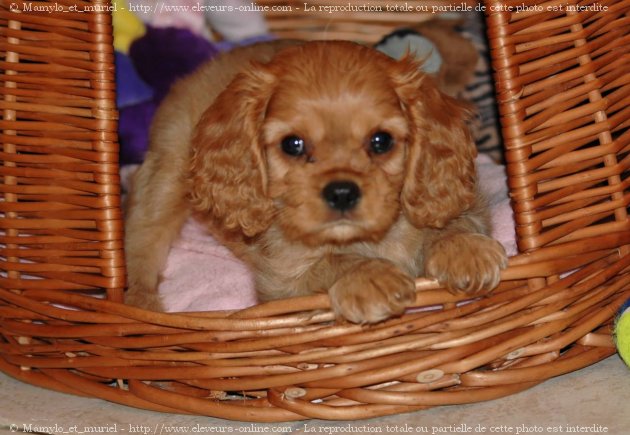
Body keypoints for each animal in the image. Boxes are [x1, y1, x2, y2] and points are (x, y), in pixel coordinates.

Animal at [126, 40, 512, 324]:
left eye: (381, 141)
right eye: (292, 144)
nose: (341, 192)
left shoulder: (468, 203)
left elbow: (454, 222)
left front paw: (465, 250)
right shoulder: (282, 283)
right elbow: (329, 263)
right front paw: (369, 276)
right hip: (166, 178)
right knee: (140, 248)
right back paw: (143, 309)